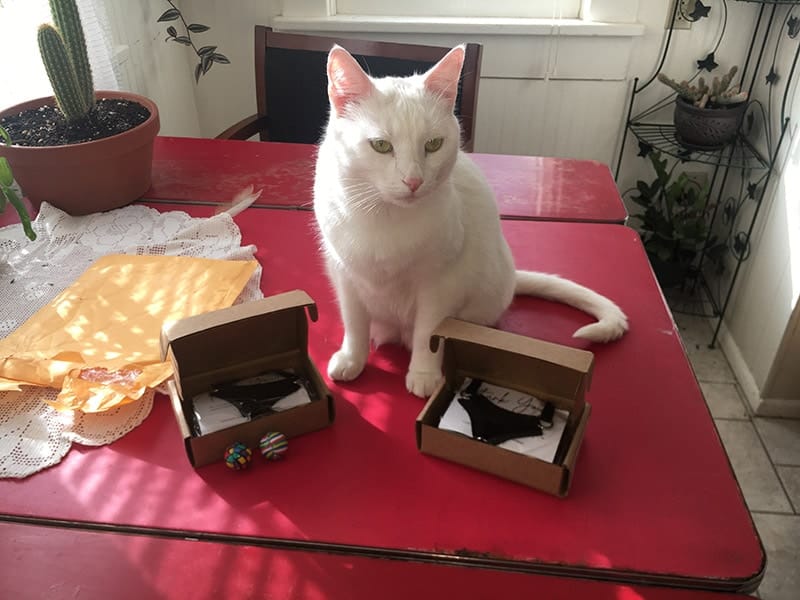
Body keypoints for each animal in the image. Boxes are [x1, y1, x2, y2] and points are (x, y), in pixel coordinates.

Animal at [312, 43, 632, 398]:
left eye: (433, 144)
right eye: (381, 146)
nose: (413, 181)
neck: (384, 217)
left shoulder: (439, 284)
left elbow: (427, 333)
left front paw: (424, 373)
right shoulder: (344, 275)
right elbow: (354, 323)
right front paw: (351, 359)